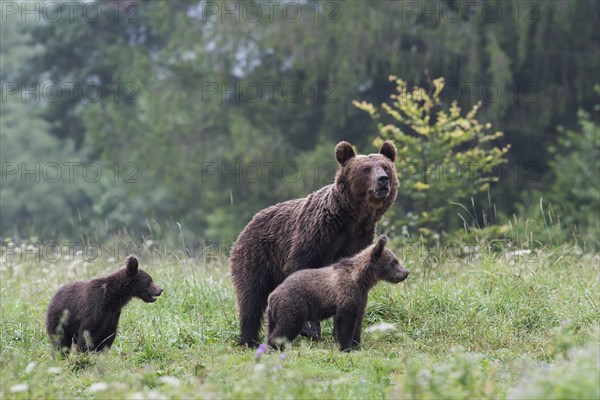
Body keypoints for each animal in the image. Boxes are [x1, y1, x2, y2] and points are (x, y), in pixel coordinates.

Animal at [231, 141, 398, 346]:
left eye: (385, 167)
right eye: (366, 169)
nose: (383, 180)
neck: (351, 219)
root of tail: (249, 223)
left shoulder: (360, 239)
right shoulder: (316, 234)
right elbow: (303, 270)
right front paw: (310, 329)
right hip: (257, 256)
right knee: (251, 298)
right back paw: (249, 339)